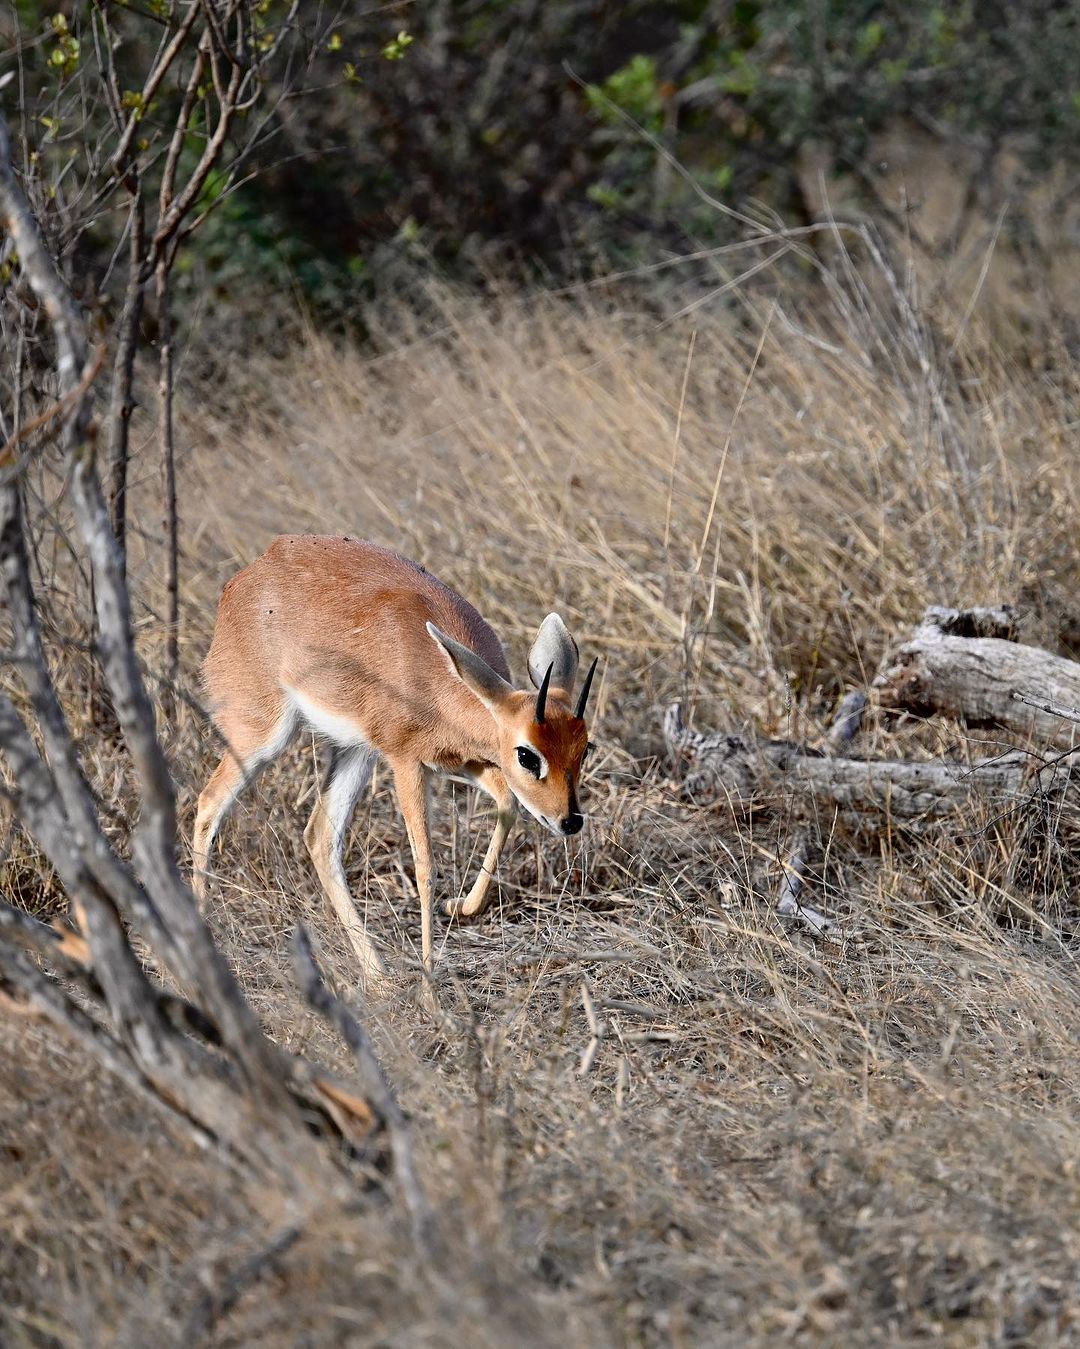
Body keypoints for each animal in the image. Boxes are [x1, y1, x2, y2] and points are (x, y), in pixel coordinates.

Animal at [194, 531, 598, 987]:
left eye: (585, 748)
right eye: (528, 756)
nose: (570, 821)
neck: (437, 680)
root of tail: (246, 576)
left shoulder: (464, 762)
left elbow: (508, 805)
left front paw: (459, 907)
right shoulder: (407, 763)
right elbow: (425, 869)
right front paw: (431, 991)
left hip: (355, 752)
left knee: (319, 837)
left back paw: (379, 978)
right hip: (262, 737)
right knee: (209, 803)